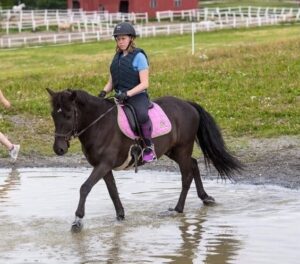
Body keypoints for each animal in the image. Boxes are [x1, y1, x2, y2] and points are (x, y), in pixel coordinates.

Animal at [47, 88, 244, 231]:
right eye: (53, 115)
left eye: (68, 115)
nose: (59, 149)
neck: (99, 124)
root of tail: (188, 105)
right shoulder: (103, 166)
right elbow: (112, 191)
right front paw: (120, 216)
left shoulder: (103, 165)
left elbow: (85, 187)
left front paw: (78, 220)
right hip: (172, 150)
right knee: (194, 165)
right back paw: (205, 197)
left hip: (182, 149)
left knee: (186, 175)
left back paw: (178, 209)